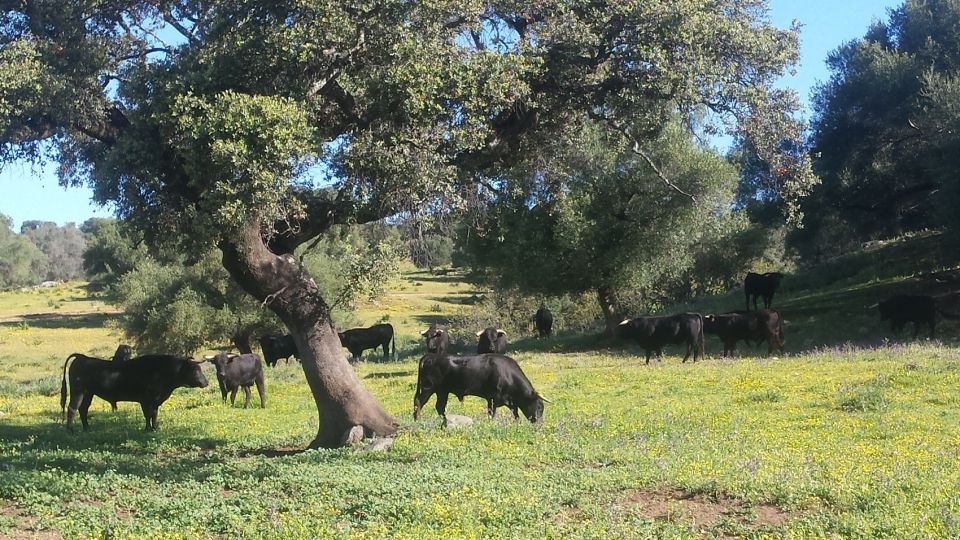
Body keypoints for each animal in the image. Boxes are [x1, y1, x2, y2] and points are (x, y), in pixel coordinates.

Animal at [412, 354, 548, 426]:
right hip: (427, 387)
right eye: (539, 406)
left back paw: (445, 420)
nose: (540, 423)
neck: (507, 374)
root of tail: (430, 356)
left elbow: (516, 414)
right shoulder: (492, 398)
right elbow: (492, 413)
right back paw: (418, 419)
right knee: (419, 402)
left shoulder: (510, 402)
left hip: (442, 391)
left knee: (439, 407)